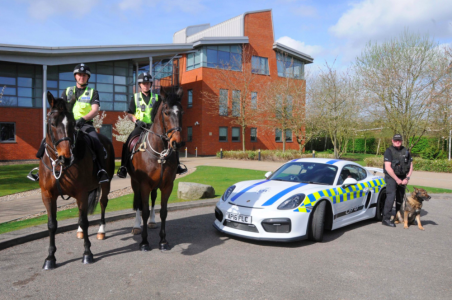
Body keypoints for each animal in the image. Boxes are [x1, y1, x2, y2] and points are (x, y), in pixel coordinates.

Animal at [38, 92, 115, 270]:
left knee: (103, 203)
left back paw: (101, 231)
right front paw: (50, 258)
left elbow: (85, 221)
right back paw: (79, 231)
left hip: (105, 184)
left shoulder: (81, 193)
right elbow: (52, 225)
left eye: (73, 123)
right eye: (52, 123)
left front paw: (87, 253)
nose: (65, 157)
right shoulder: (47, 195)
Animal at [127, 86, 184, 251]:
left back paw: (152, 222)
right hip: (136, 183)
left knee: (152, 200)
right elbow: (144, 210)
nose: (177, 142)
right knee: (139, 203)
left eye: (181, 112)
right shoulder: (144, 185)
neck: (159, 153)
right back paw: (137, 226)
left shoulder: (167, 185)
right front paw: (144, 242)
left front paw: (163, 241)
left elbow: (163, 212)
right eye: (166, 112)